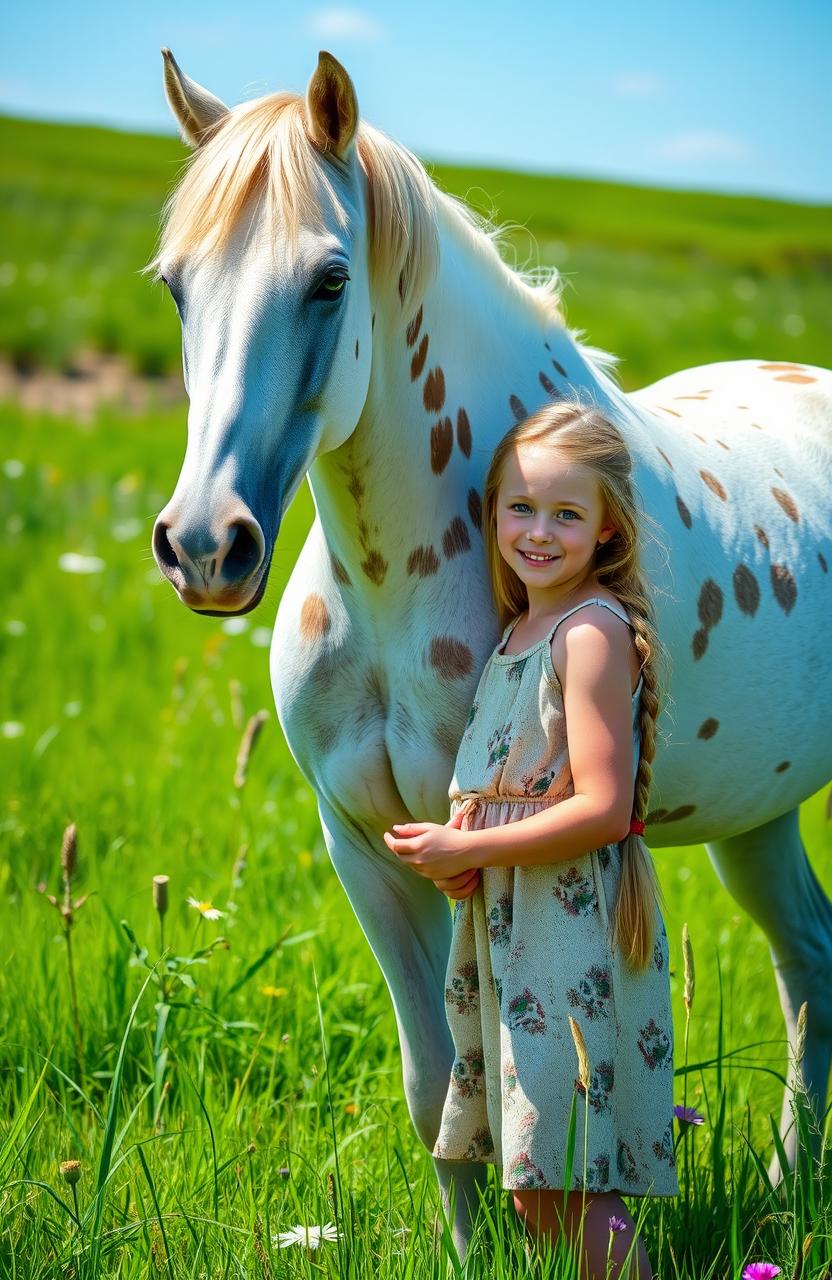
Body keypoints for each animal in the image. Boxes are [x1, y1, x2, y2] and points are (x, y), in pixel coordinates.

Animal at [150, 48, 832, 1254]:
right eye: (176, 284)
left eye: (330, 279)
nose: (204, 544)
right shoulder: (367, 845)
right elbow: (439, 1087)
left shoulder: (478, 841)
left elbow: (521, 1075)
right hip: (761, 811)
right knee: (809, 964)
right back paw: (785, 1187)